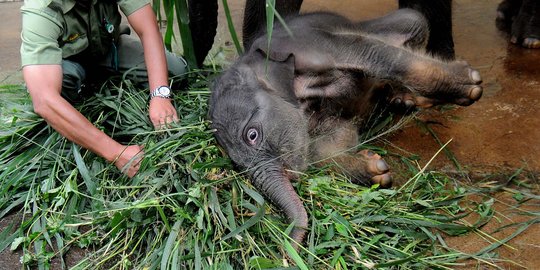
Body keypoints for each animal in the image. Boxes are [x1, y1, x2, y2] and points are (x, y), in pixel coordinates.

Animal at [209, 9, 484, 247]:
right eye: (236, 164)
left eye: (252, 135)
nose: (289, 250)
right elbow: (333, 140)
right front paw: (376, 170)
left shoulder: (313, 44)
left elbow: (371, 54)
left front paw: (471, 86)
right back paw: (399, 100)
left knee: (412, 21)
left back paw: (409, 97)